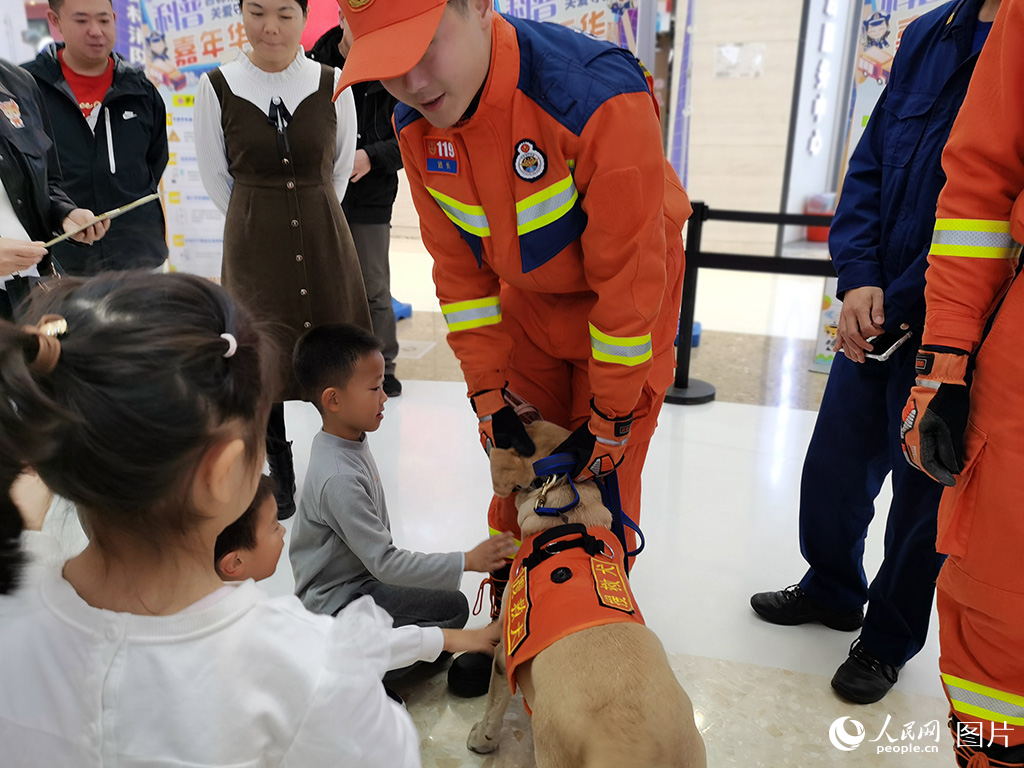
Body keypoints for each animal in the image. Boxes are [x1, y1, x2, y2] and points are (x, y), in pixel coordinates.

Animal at [468, 421, 708, 768]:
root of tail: (633, 749)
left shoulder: (504, 654)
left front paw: (482, 739)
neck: (566, 513)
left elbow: (494, 703)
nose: (522, 414)